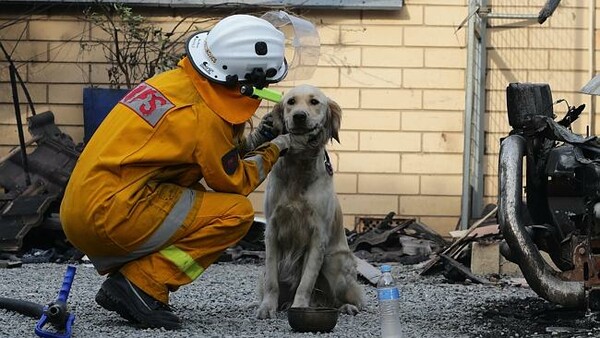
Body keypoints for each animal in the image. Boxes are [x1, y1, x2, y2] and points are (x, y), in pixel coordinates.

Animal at [255, 84, 364, 320]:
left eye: (314, 102)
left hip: (334, 262)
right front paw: (267, 307)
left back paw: (346, 307)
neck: (299, 166)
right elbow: (272, 282)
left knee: (355, 300)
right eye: (291, 102)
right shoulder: (271, 231)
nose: (299, 116)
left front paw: (299, 307)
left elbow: (306, 281)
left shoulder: (317, 236)